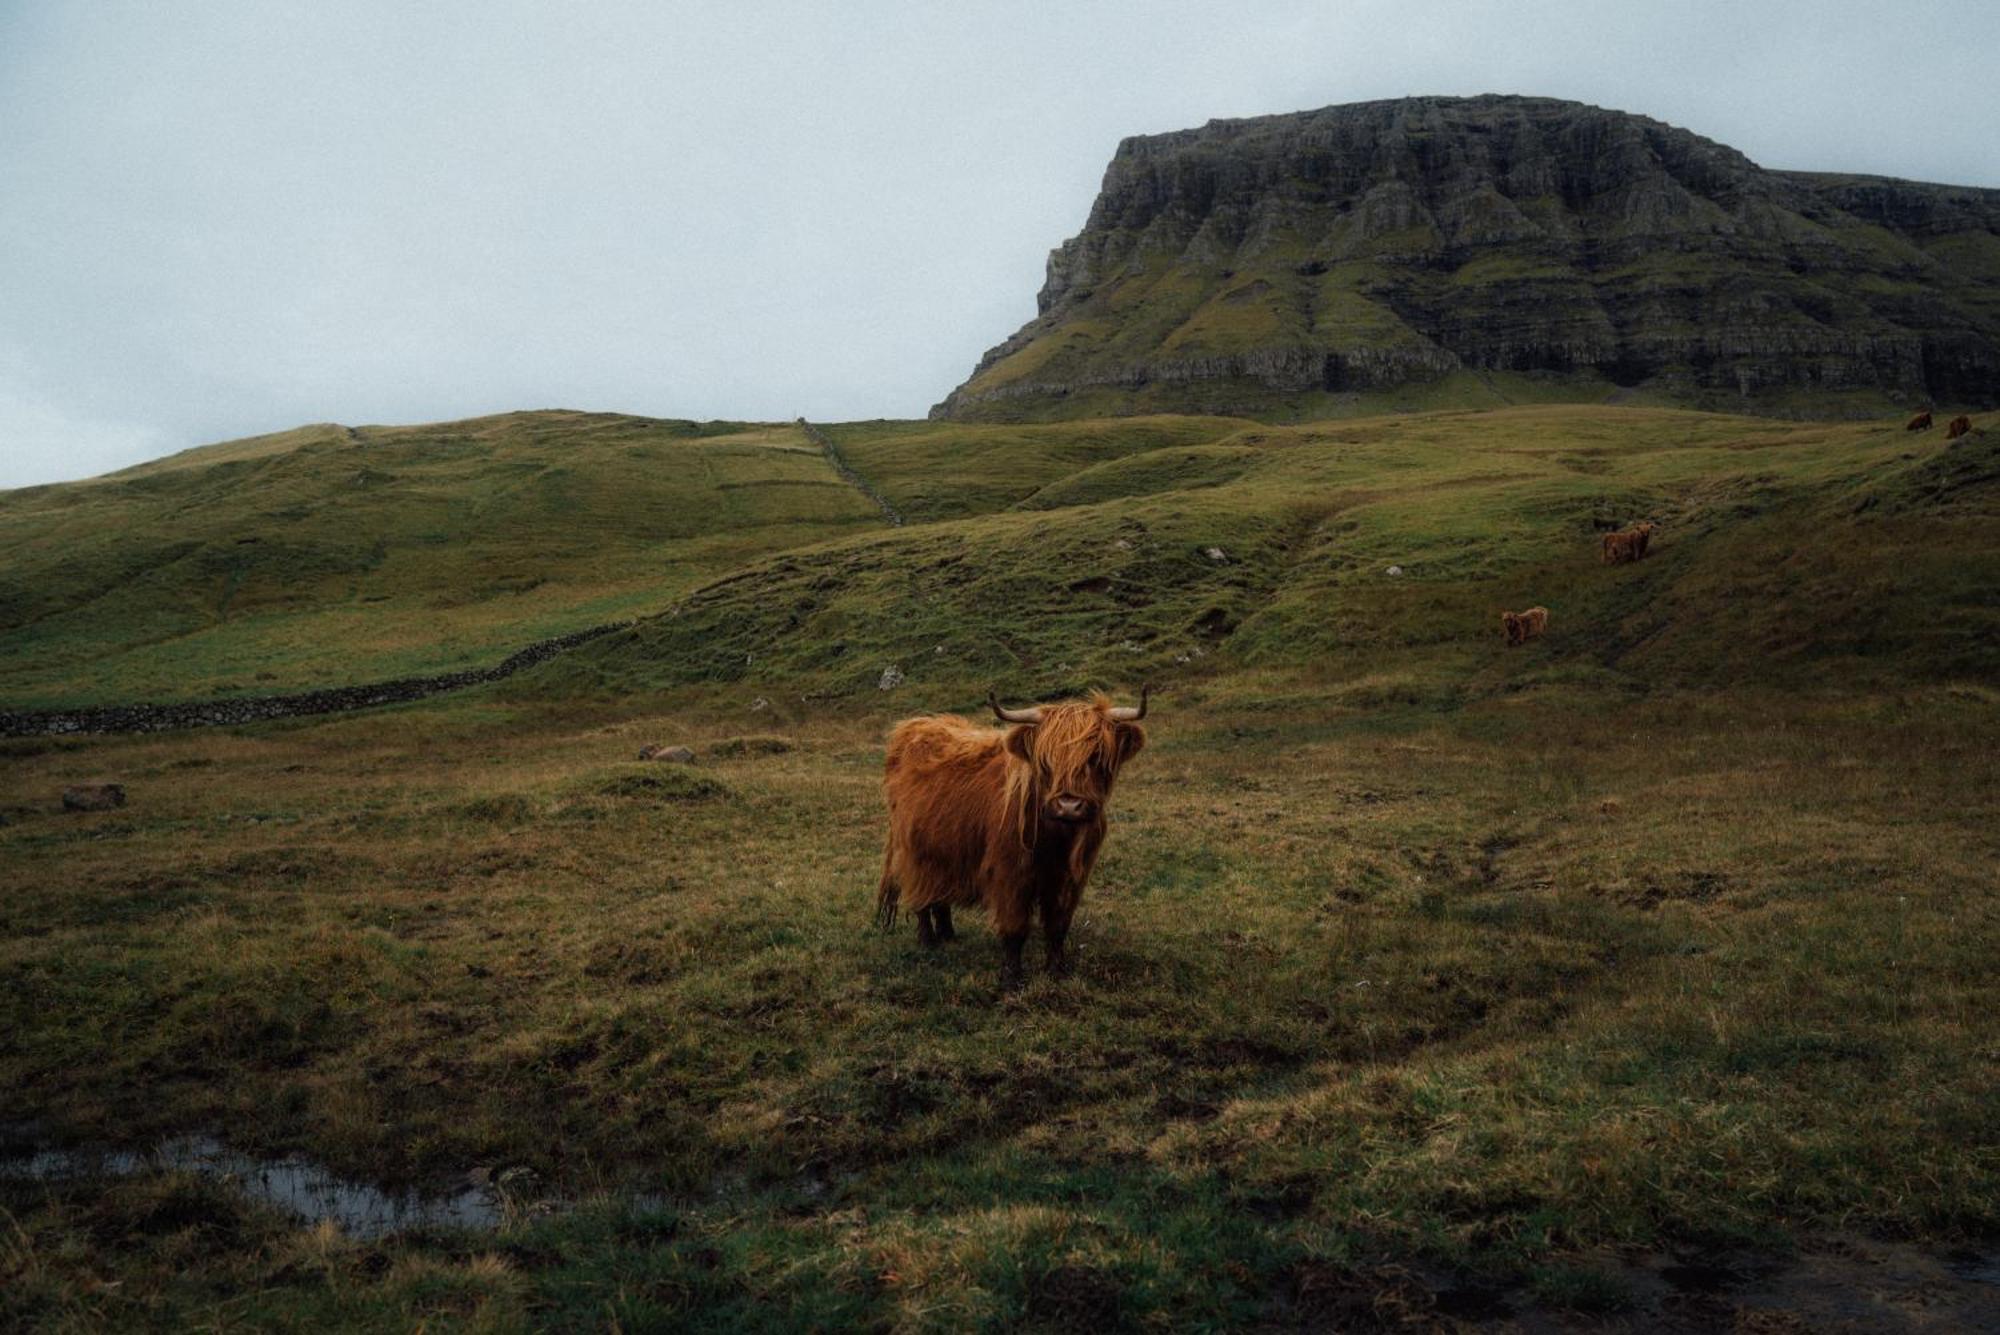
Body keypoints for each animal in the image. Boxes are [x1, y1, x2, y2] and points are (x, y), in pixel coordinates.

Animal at [880, 687, 1152, 991]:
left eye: (1096, 756)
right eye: (1046, 760)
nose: (1068, 806)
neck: (1056, 839)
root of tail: (915, 725)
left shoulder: (1069, 879)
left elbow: (1057, 926)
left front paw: (1057, 970)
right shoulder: (1010, 874)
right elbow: (1015, 927)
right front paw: (1011, 978)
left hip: (945, 850)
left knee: (940, 895)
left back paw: (948, 934)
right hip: (914, 852)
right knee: (921, 896)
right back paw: (928, 941)